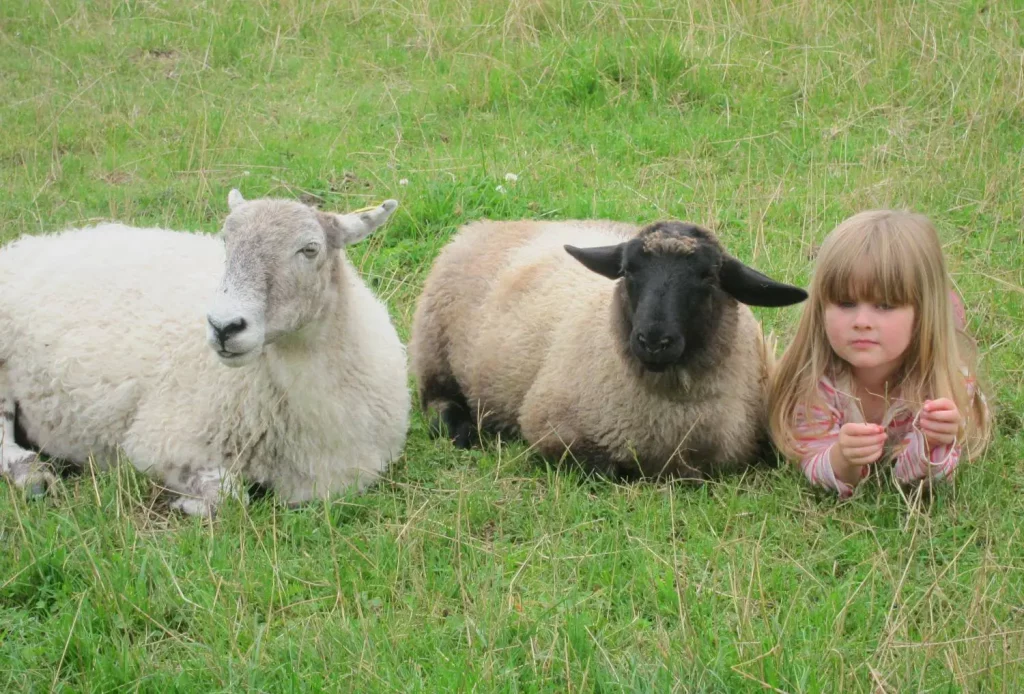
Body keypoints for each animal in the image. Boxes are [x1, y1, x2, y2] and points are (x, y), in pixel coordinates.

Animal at [0, 190, 409, 515]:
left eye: (310, 249)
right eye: (226, 242)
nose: (224, 326)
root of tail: (22, 245)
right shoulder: (158, 444)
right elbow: (230, 496)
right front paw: (184, 503)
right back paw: (31, 473)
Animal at [409, 218, 807, 479]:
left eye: (708, 277)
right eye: (628, 271)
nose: (653, 341)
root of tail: (477, 226)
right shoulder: (553, 431)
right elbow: (610, 471)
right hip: (434, 349)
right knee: (438, 400)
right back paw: (462, 431)